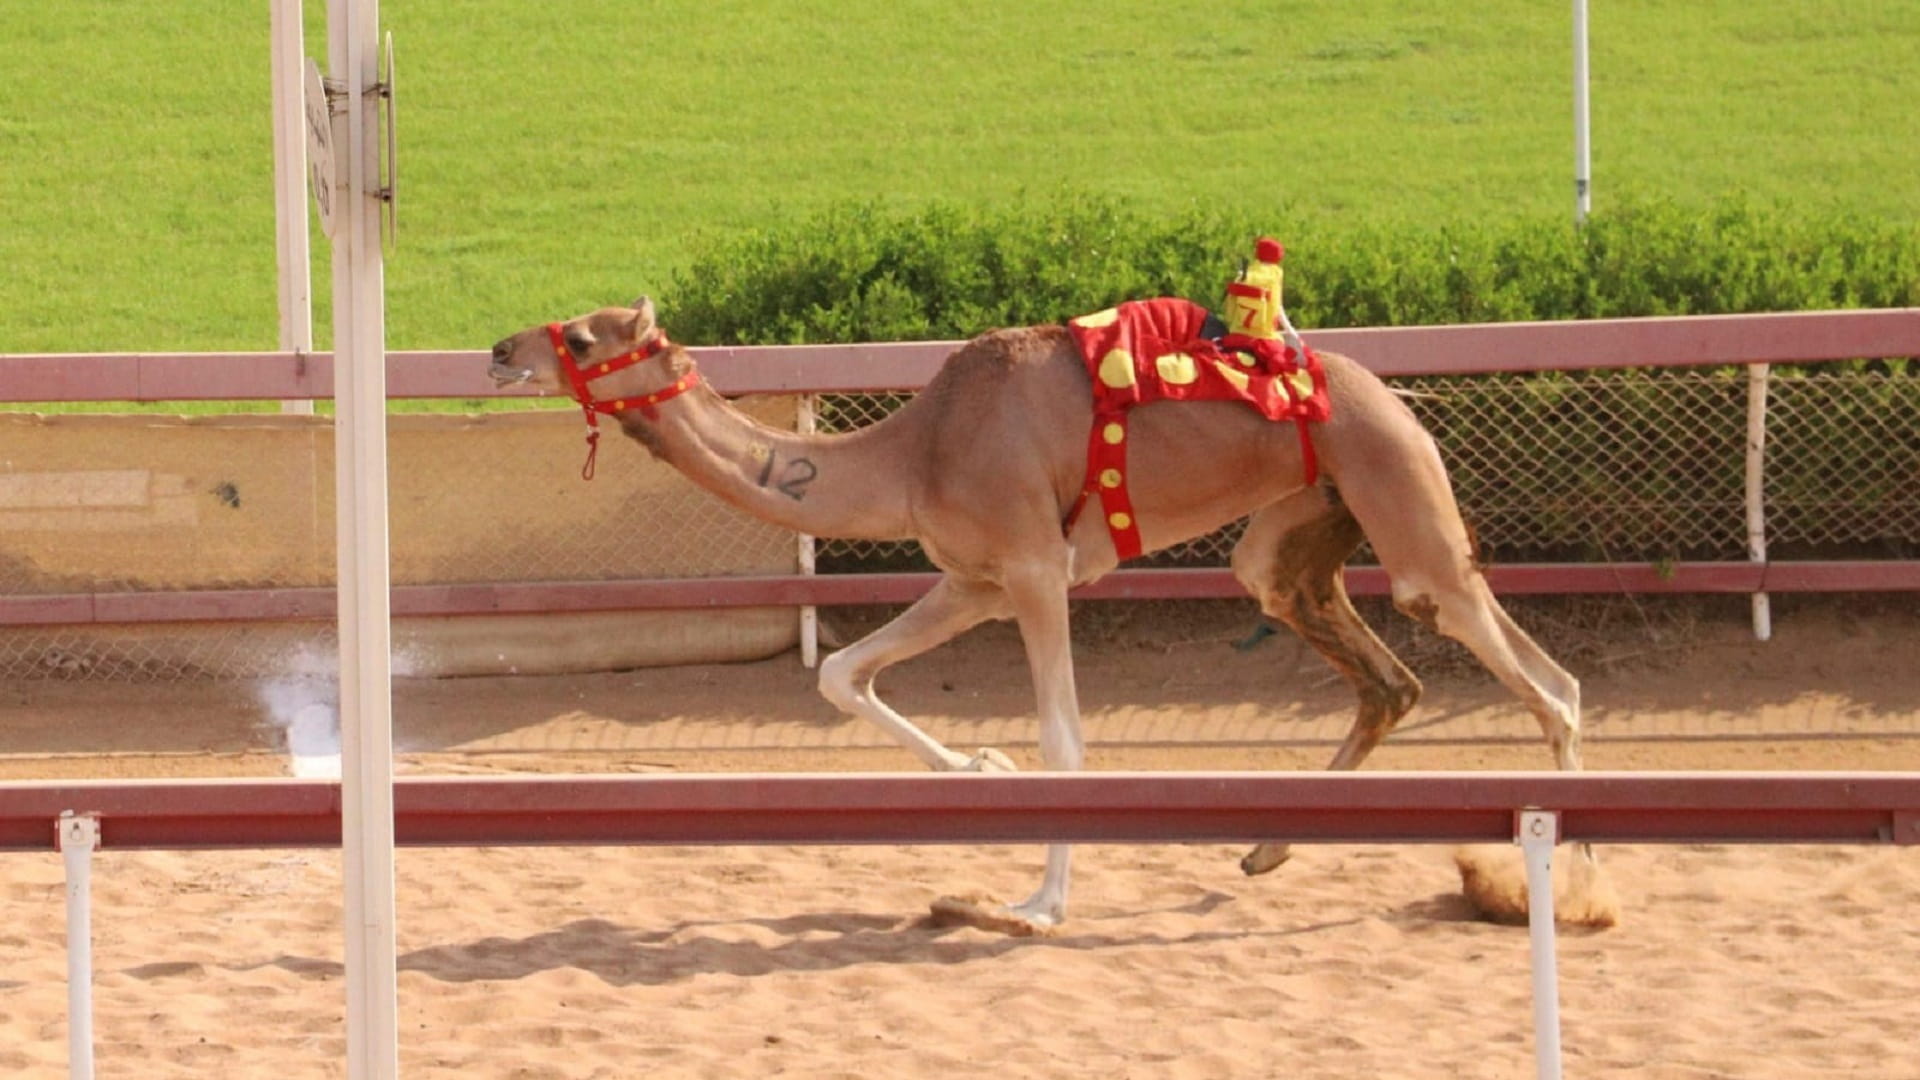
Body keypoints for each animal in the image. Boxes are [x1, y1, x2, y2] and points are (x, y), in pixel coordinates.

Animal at [491, 292, 1589, 926]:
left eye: (580, 334)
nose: (498, 349)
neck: (912, 453)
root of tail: (1399, 401)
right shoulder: (973, 578)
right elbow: (840, 671)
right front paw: (978, 764)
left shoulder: (1032, 569)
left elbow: (1065, 738)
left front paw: (1038, 903)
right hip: (1296, 525)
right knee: (1376, 667)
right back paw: (1267, 846)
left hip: (1400, 495)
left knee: (1547, 679)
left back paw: (1572, 878)